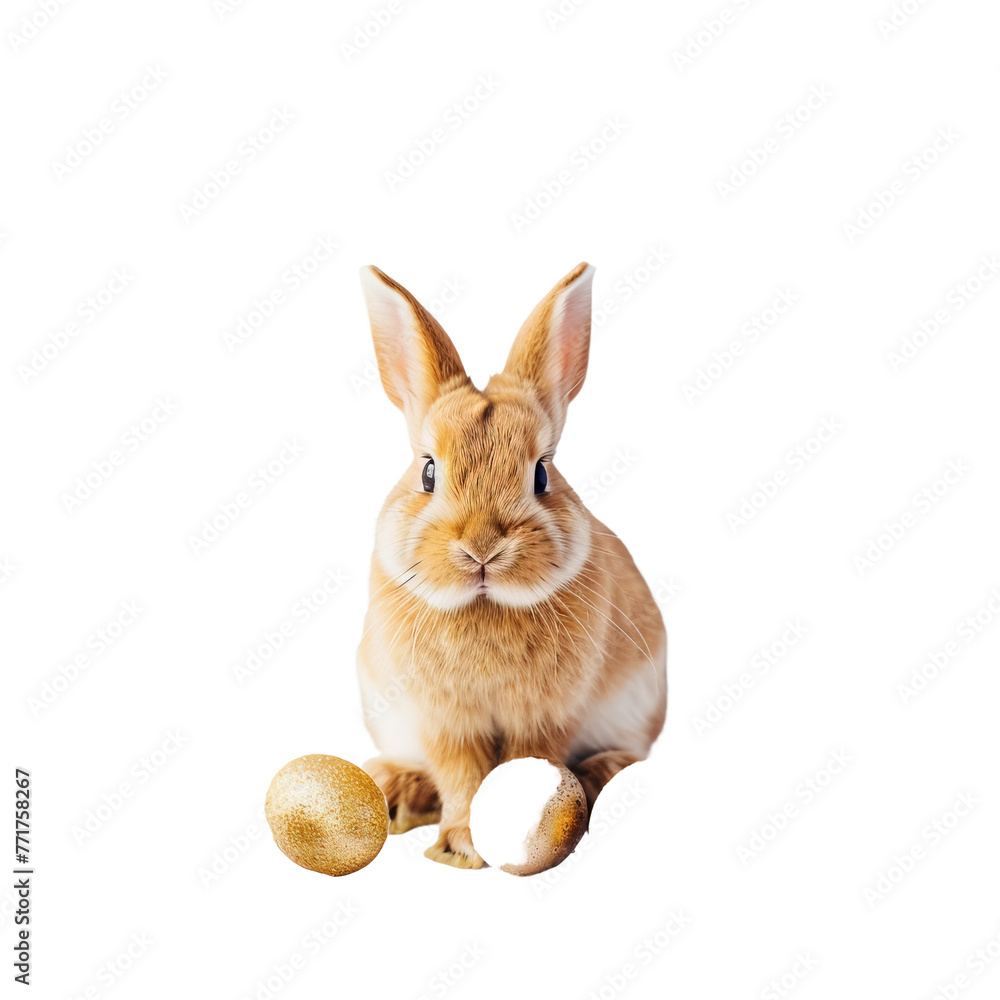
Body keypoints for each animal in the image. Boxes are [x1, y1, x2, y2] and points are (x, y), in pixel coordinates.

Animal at [356, 262, 666, 869]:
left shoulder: (543, 717)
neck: (484, 604)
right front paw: (458, 847)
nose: (482, 547)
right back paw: (397, 793)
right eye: (428, 472)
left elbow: (527, 766)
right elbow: (460, 776)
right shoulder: (445, 724)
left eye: (542, 474)